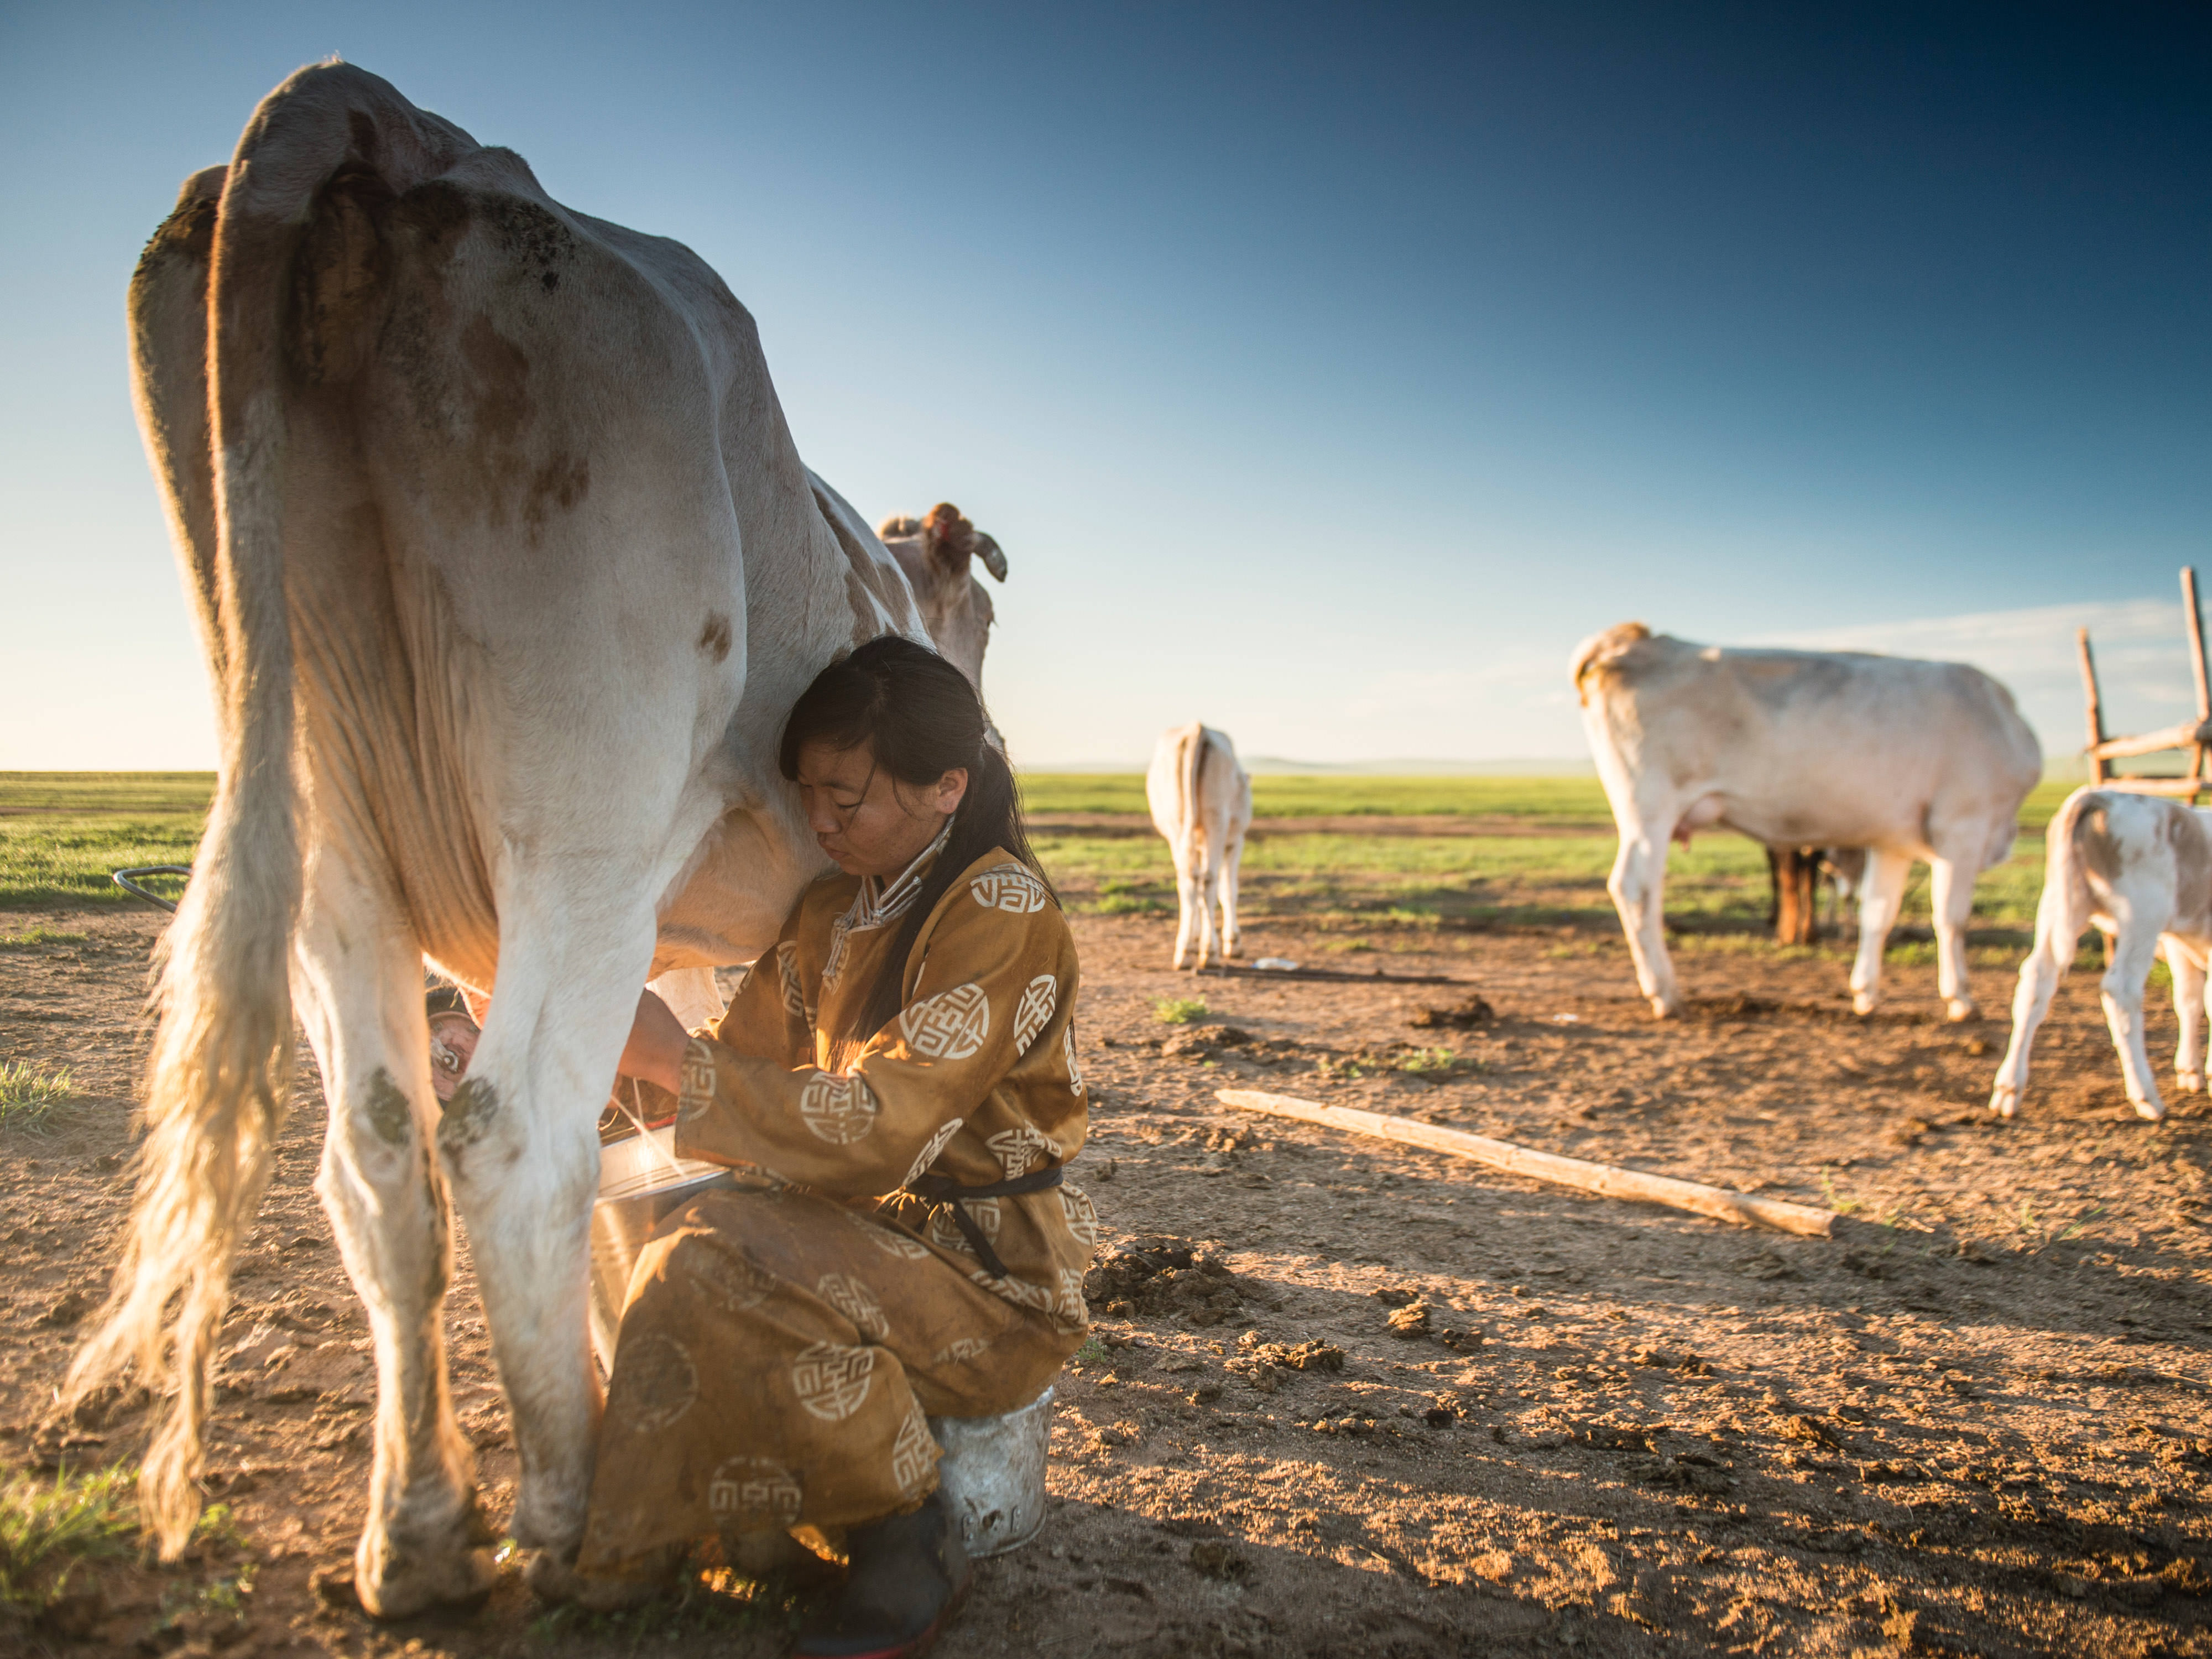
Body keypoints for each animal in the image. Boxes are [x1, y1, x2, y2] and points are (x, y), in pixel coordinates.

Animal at [74, 68, 942, 1628]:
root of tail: (381, 116)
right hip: (583, 820)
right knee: (511, 1138)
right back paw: (571, 1518)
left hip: (332, 819)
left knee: (378, 1153)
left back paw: (420, 1531)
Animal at [1150, 726, 1256, 973]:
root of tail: (1197, 730)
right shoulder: (1235, 842)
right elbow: (1229, 891)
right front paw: (1233, 942)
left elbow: (1198, 895)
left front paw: (1196, 938)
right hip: (1217, 820)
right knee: (1209, 881)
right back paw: (1211, 952)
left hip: (1177, 823)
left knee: (1188, 881)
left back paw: (1186, 951)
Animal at [1575, 624, 2035, 1022]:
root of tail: (1638, 640)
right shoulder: (1964, 824)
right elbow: (1951, 917)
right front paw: (1961, 998)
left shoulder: (1894, 841)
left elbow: (1878, 914)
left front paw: (1865, 993)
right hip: (1649, 807)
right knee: (1636, 888)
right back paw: (1665, 992)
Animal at [1991, 792, 2212, 1133]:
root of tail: (2103, 796)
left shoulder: (2182, 941)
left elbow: (2191, 1000)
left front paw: (2192, 1072)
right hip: (2142, 916)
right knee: (2121, 990)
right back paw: (2147, 1097)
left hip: (2058, 905)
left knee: (2035, 983)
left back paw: (2008, 1090)